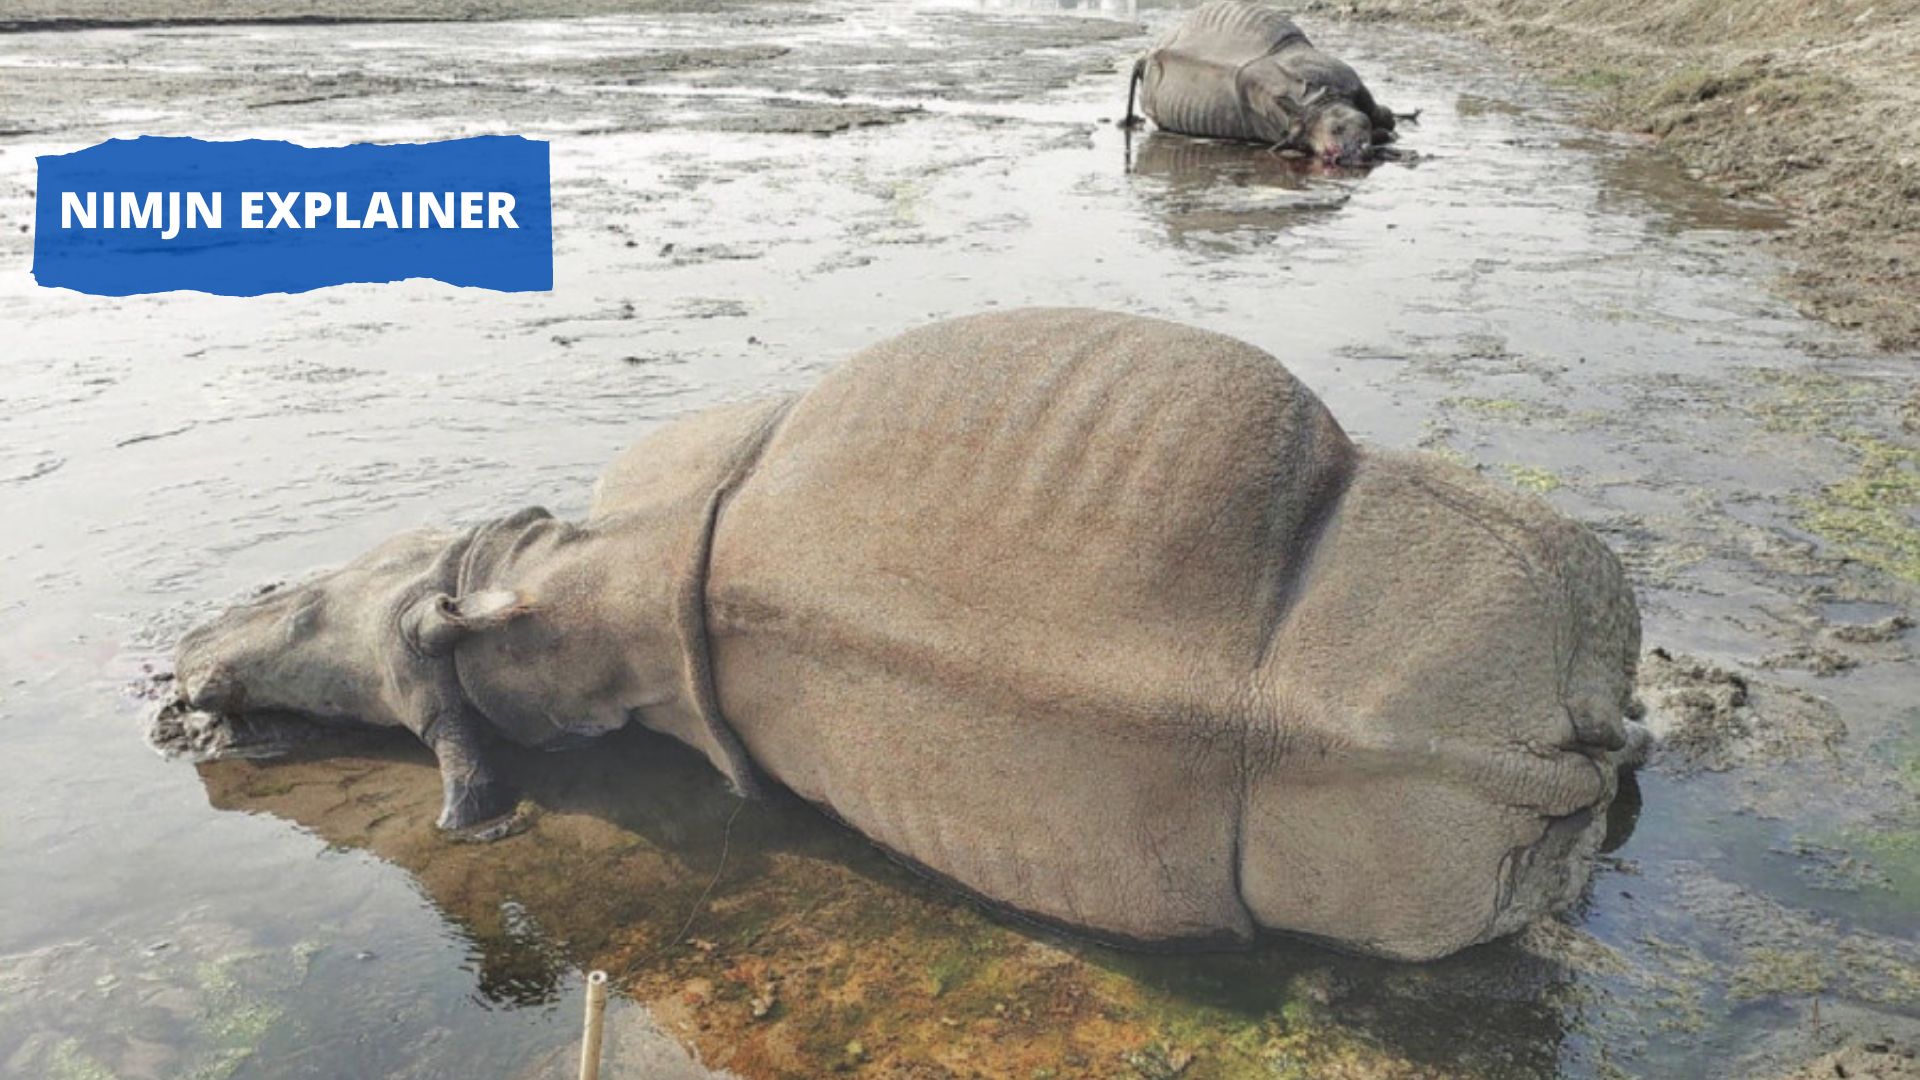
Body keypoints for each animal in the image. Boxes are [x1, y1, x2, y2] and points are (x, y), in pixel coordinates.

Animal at [1126, 1, 1403, 164]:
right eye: (1335, 130)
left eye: (1363, 125)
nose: (1360, 151)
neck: (1319, 103)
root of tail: (1148, 53)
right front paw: (1385, 134)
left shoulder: (1349, 83)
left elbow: (1383, 115)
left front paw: (1385, 130)